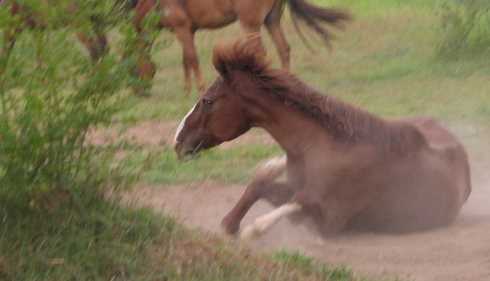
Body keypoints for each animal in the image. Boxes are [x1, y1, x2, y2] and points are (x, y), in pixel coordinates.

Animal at [132, 0, 350, 94]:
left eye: (132, 68)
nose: (139, 91)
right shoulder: (187, 32)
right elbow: (186, 60)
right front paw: (187, 90)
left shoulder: (182, 29)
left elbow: (192, 59)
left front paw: (200, 89)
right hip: (271, 21)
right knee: (283, 49)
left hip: (250, 24)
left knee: (259, 53)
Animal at [174, 36, 472, 238]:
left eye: (207, 100)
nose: (178, 141)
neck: (316, 147)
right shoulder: (294, 188)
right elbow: (260, 185)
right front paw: (230, 223)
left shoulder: (331, 220)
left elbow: (296, 203)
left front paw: (250, 229)